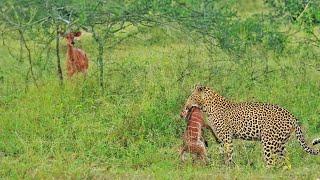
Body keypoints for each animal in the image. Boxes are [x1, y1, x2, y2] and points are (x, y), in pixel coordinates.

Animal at [181, 84, 318, 166]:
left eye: (191, 97)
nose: (186, 107)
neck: (208, 107)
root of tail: (291, 116)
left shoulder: (227, 138)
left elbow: (228, 155)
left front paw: (228, 167)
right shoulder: (222, 138)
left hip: (269, 141)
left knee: (271, 162)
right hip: (280, 143)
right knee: (282, 161)